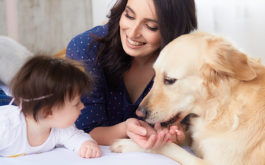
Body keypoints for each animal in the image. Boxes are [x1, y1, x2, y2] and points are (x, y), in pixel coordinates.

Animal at [110, 31, 264, 164]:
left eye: (169, 80)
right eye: (155, 75)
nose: (139, 113)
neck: (220, 105)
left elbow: (166, 146)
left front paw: (126, 143)